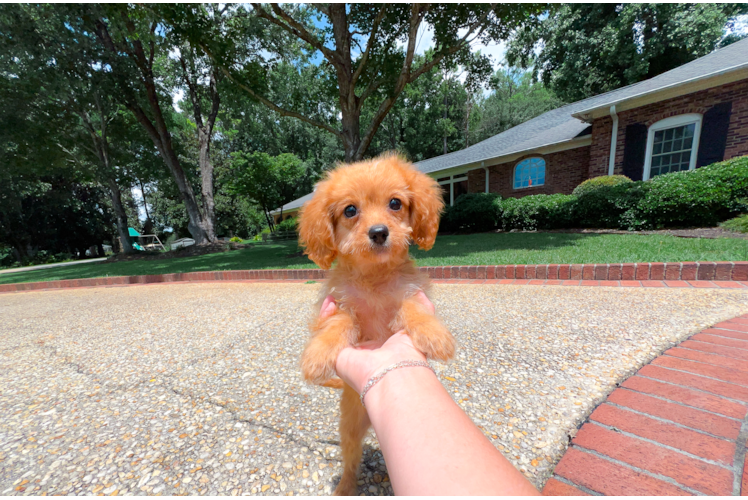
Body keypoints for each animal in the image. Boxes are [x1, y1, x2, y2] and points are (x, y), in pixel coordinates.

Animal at [296, 152, 456, 496]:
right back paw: (345, 487)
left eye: (395, 203)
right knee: (351, 460)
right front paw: (319, 354)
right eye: (350, 210)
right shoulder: (338, 304)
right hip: (350, 430)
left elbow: (411, 308)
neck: (374, 277)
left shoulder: (409, 293)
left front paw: (433, 333)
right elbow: (339, 323)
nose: (379, 232)